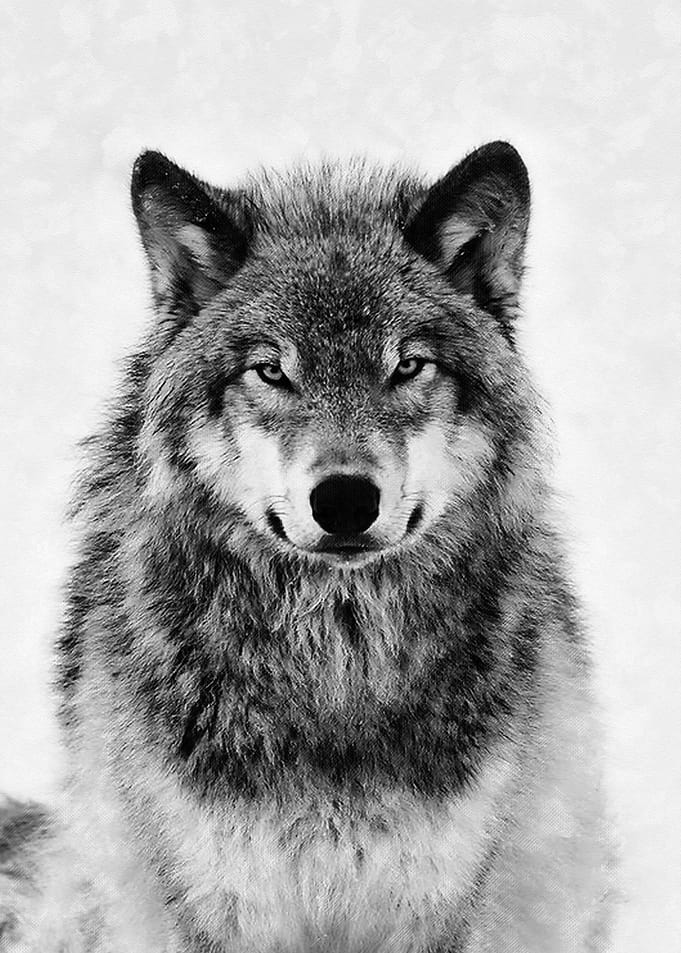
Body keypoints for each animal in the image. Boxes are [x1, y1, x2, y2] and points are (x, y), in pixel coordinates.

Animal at [0, 141, 614, 951]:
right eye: (271, 369)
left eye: (407, 364)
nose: (346, 499)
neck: (334, 666)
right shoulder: (217, 898)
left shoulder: (438, 897)